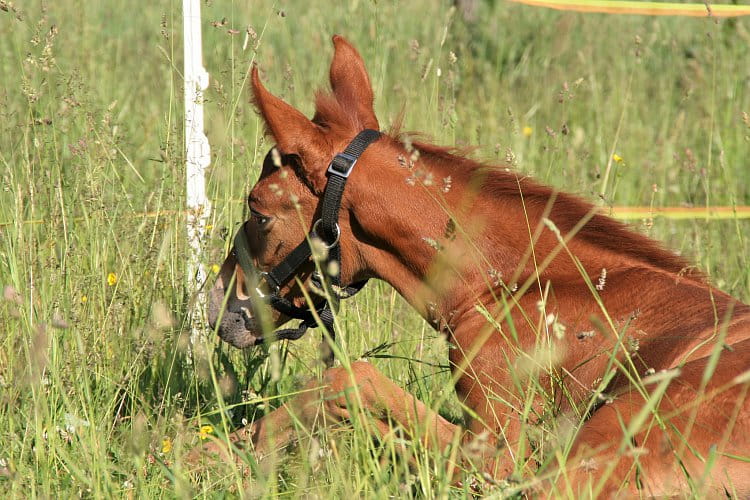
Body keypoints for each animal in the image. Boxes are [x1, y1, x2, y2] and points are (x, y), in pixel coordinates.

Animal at [198, 36, 750, 496]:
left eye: (258, 211)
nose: (216, 303)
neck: (523, 285)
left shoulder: (494, 453)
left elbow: (344, 382)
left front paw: (217, 452)